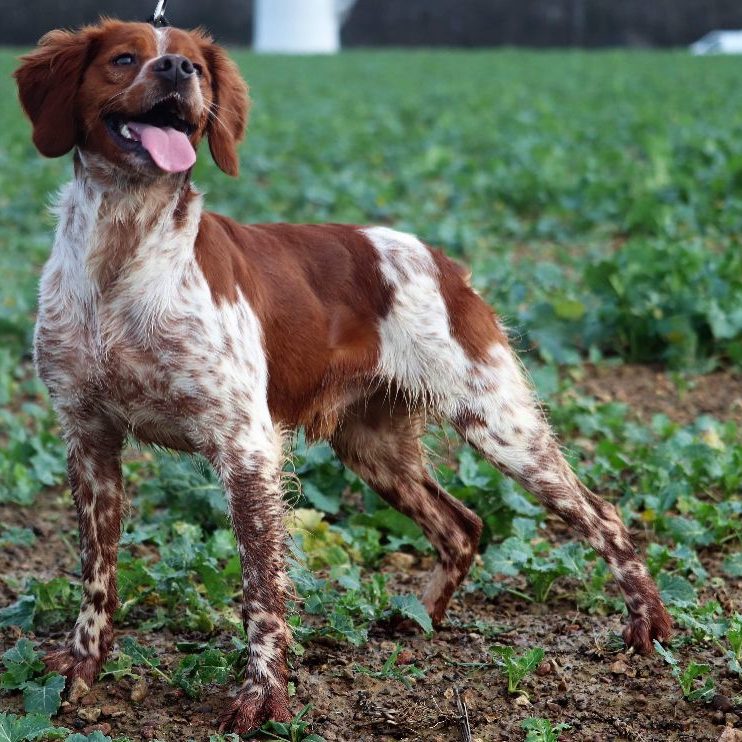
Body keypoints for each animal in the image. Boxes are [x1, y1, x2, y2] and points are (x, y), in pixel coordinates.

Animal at [13, 20, 676, 736]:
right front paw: (82, 666)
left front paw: (263, 697)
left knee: (600, 513)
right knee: (463, 524)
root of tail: (445, 261)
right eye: (124, 58)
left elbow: (261, 586)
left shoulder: (246, 446)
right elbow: (97, 570)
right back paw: (417, 621)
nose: (178, 71)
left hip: (499, 422)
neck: (122, 250)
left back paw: (648, 627)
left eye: (196, 65)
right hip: (372, 446)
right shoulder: (88, 438)